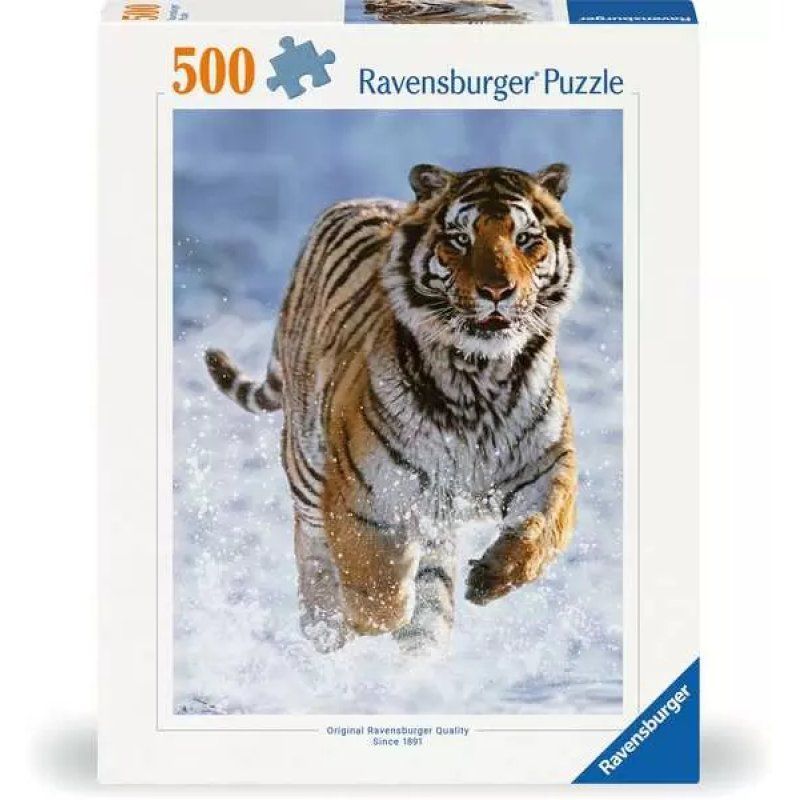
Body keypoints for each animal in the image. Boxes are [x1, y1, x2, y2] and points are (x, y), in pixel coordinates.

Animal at [205, 163, 579, 655]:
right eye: (460, 239)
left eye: (524, 239)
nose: (497, 290)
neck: (480, 376)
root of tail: (356, 201)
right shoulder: (363, 494)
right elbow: (377, 592)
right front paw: (362, 618)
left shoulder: (548, 464)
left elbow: (541, 529)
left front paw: (490, 578)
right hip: (307, 467)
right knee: (311, 548)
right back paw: (325, 627)